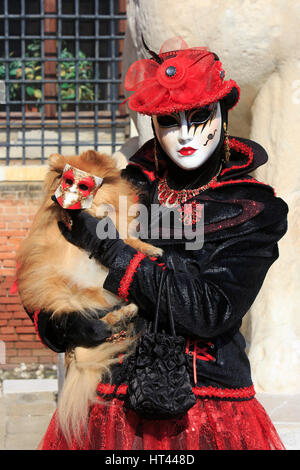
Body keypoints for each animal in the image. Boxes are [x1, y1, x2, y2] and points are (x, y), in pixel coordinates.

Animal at [16, 151, 162, 444]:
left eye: (84, 186)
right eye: (67, 181)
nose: (68, 198)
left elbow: (126, 238)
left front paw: (148, 248)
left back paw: (126, 313)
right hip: (72, 297)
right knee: (96, 317)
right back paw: (120, 316)